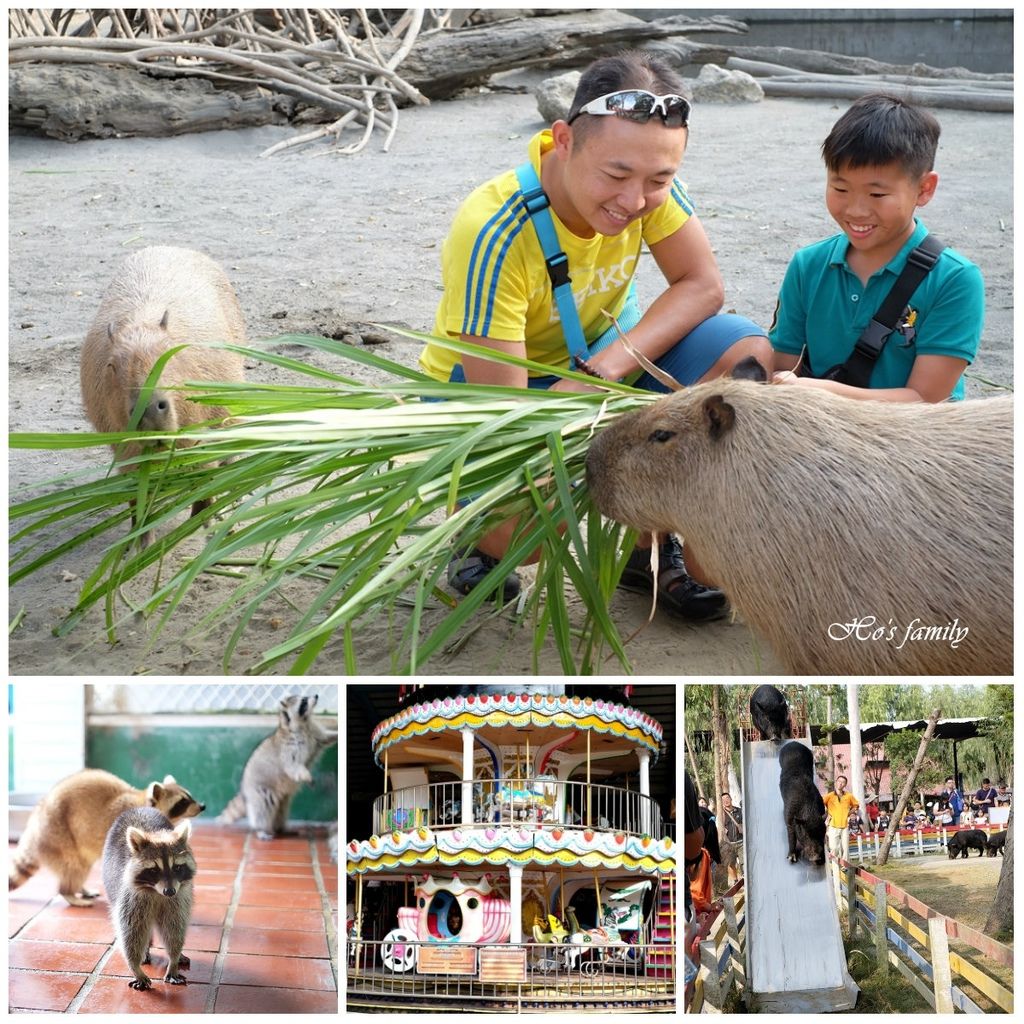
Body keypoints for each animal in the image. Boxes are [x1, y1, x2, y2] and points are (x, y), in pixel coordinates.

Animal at [8, 770, 203, 905]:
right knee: (75, 867)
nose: (202, 806)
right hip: (59, 836)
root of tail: (36, 821)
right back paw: (69, 893)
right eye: (183, 802)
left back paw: (80, 889)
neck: (145, 802)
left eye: (190, 796)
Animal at [103, 806, 197, 991]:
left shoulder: (177, 899)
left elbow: (175, 927)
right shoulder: (130, 897)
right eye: (154, 870)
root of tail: (139, 807)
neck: (157, 893)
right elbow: (130, 930)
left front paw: (174, 959)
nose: (169, 891)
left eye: (177, 867)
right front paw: (134, 966)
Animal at [219, 696, 337, 839]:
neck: (303, 723)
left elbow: (326, 737)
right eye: (303, 701)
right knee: (263, 810)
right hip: (260, 791)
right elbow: (293, 767)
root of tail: (244, 790)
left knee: (281, 811)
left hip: (283, 799)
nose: (316, 696)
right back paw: (262, 829)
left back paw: (281, 828)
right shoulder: (288, 749)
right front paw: (306, 775)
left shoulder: (314, 732)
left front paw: (338, 733)